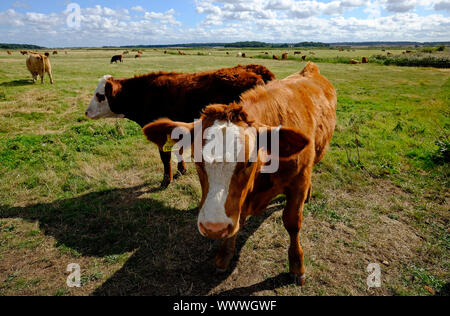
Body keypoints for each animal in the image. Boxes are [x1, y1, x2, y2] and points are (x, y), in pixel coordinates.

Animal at [84, 65, 274, 188]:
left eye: (100, 95)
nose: (86, 112)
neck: (145, 94)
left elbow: (165, 158)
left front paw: (166, 180)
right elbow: (179, 151)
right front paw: (182, 170)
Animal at [142, 63, 336, 286]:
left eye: (249, 161)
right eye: (197, 161)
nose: (213, 227)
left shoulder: (299, 182)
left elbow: (292, 223)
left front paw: (297, 266)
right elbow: (237, 220)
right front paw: (224, 256)